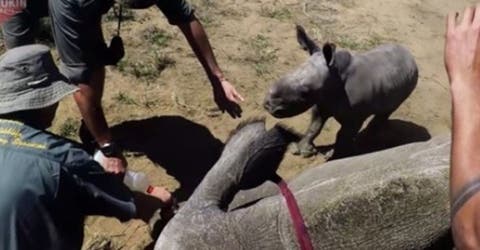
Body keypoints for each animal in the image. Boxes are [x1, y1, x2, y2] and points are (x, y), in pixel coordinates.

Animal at [264, 24, 418, 158]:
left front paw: (334, 157)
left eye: (305, 93)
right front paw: (301, 150)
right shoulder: (322, 101)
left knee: (387, 110)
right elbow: (315, 126)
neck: (334, 76)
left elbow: (342, 135)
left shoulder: (355, 117)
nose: (269, 105)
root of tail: (411, 57)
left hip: (411, 81)